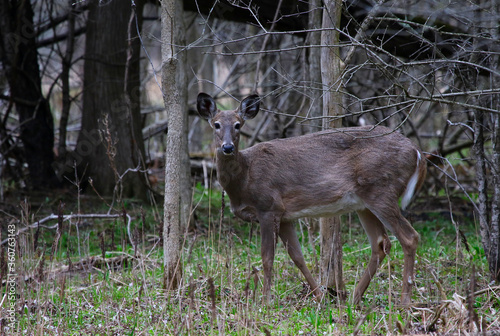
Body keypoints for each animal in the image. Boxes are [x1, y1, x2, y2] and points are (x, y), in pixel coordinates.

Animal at [195, 93, 426, 306]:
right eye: (216, 124)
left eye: (238, 125)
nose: (227, 147)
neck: (245, 177)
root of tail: (417, 151)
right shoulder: (284, 215)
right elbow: (297, 256)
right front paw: (319, 296)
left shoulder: (268, 206)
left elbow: (267, 257)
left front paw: (265, 301)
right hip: (365, 203)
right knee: (380, 243)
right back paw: (354, 298)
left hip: (382, 191)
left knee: (409, 237)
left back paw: (404, 301)